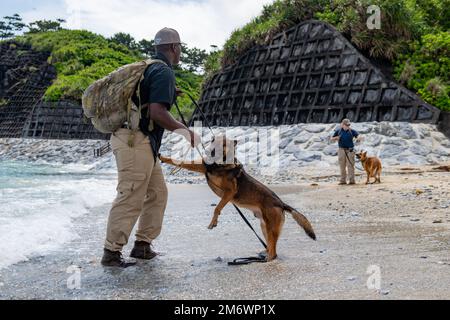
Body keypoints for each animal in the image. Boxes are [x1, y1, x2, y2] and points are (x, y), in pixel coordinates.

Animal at [160, 136, 314, 262]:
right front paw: (162, 157)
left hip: (271, 227)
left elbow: (217, 208)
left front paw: (213, 222)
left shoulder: (229, 193)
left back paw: (267, 259)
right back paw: (264, 253)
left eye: (224, 144)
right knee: (270, 245)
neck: (220, 164)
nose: (210, 152)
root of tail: (281, 203)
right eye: (213, 141)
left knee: (274, 251)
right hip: (264, 226)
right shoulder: (203, 167)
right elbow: (179, 161)